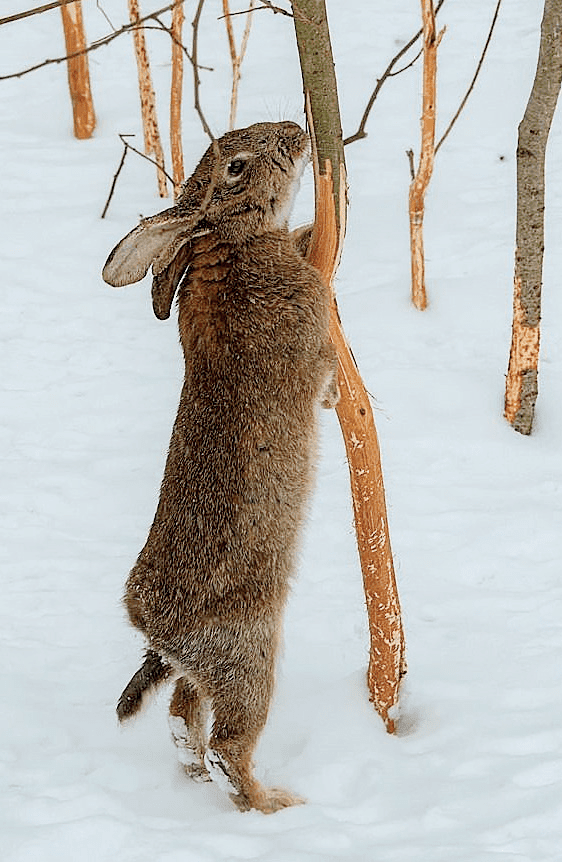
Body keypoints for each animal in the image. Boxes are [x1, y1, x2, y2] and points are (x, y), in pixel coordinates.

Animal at [101, 121, 336, 816]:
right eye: (234, 166)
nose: (297, 132)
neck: (230, 242)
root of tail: (154, 629)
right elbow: (325, 373)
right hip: (248, 655)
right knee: (229, 742)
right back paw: (275, 804)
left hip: (204, 672)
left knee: (183, 716)